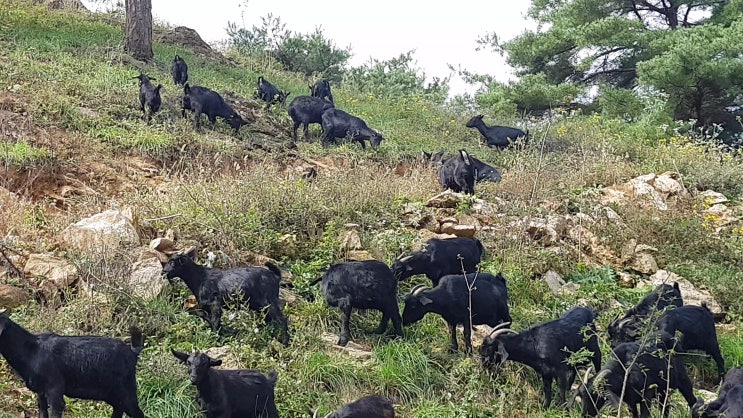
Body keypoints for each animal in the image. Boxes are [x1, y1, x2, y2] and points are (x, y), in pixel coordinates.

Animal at [0, 310, 147, 418]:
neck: (31, 351)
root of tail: (133, 352)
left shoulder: (55, 392)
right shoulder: (41, 394)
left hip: (127, 392)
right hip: (113, 395)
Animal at [161, 250, 290, 344]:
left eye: (173, 262)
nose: (163, 272)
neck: (199, 277)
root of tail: (276, 277)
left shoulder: (215, 304)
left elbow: (213, 320)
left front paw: (216, 338)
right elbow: (203, 314)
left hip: (270, 302)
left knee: (281, 320)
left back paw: (285, 342)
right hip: (259, 306)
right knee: (269, 320)